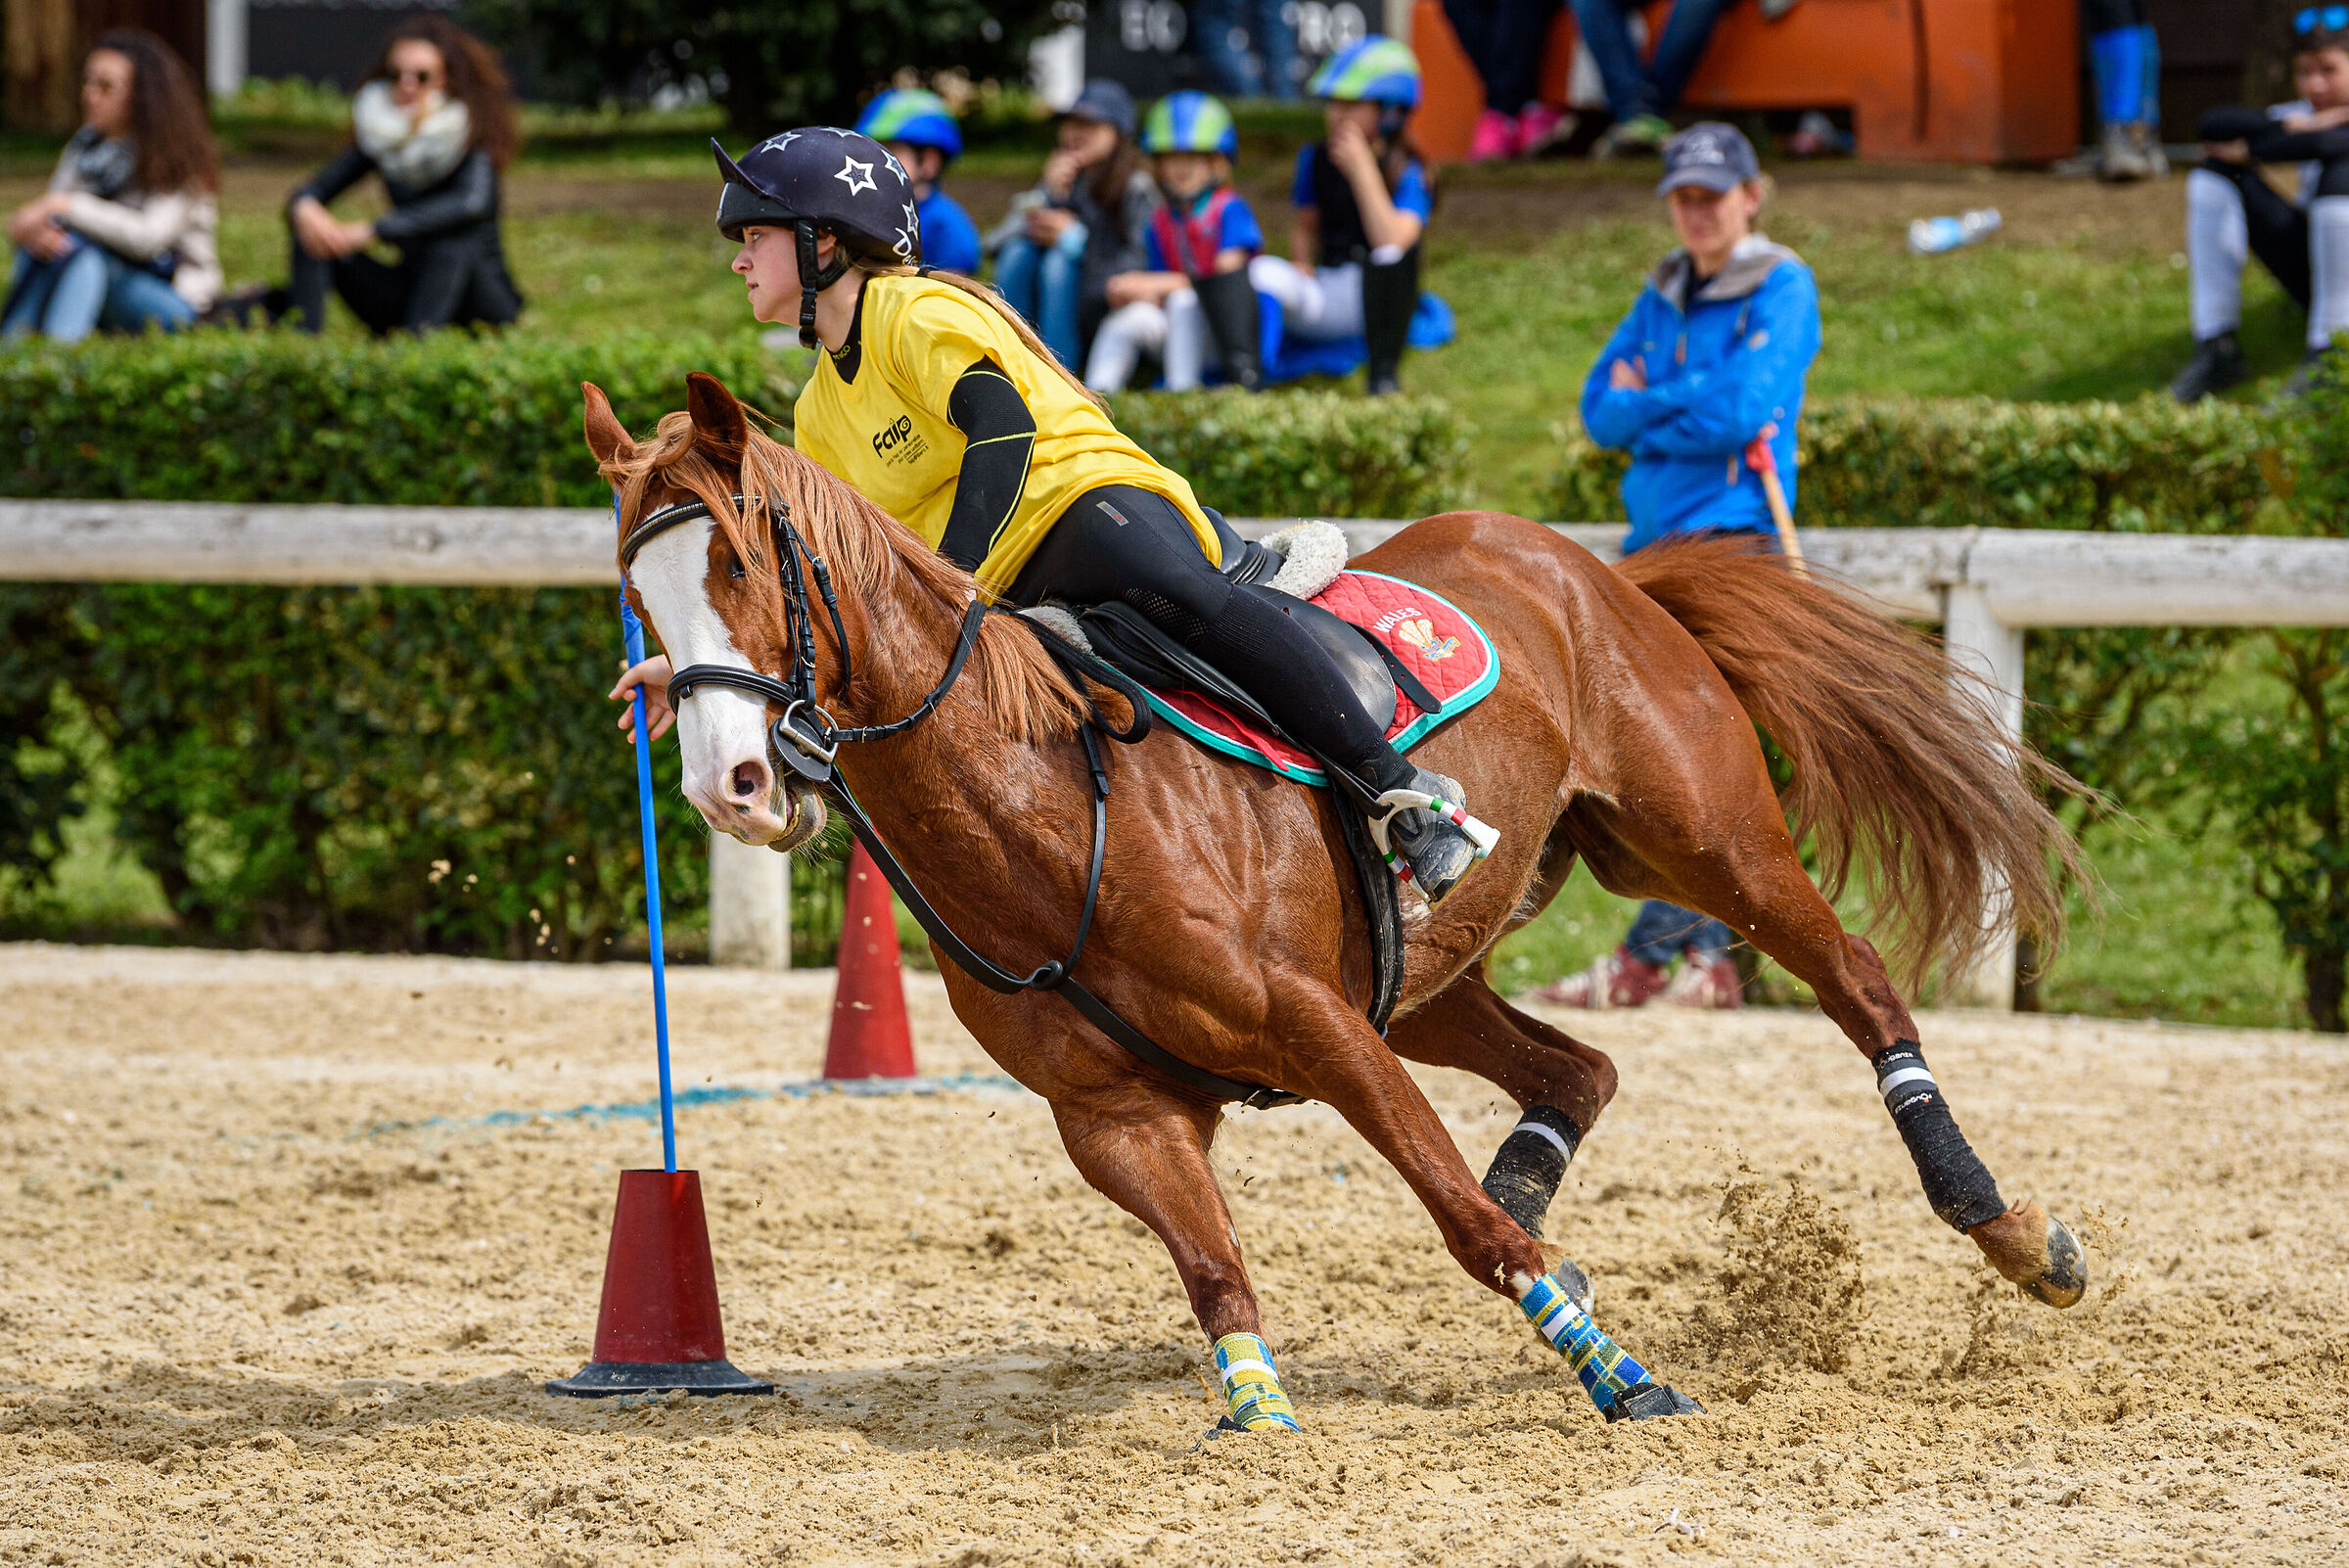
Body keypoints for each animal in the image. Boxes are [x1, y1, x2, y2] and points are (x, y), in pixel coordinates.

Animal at [587, 373, 2095, 1427]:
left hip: (1703, 849)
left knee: (1858, 983)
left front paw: (1618, 1374)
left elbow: (1458, 1221)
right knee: (1579, 1066)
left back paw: (2007, 1225)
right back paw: (1546, 1193)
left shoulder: (1317, 1029)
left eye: (736, 559)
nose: (729, 783)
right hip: (1428, 974)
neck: (1042, 803)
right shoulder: (1117, 1115)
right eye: (635, 594)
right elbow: (1214, 1269)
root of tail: (1596, 565)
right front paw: (1258, 1412)